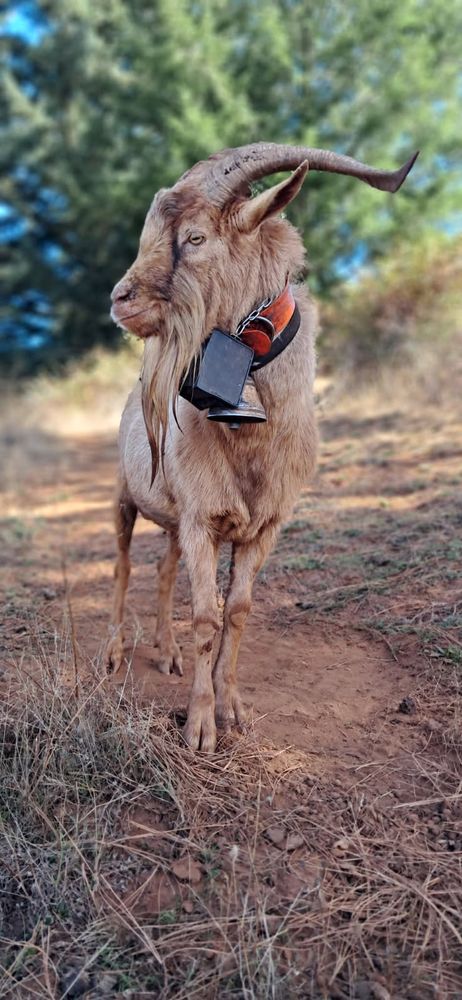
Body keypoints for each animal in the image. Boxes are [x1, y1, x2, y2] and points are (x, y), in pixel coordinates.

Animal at [107, 142, 417, 752]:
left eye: (195, 237)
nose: (119, 299)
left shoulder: (262, 524)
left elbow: (238, 610)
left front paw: (233, 710)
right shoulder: (202, 519)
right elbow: (206, 616)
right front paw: (200, 729)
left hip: (173, 520)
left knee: (163, 571)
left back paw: (168, 653)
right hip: (126, 497)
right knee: (124, 565)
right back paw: (112, 652)